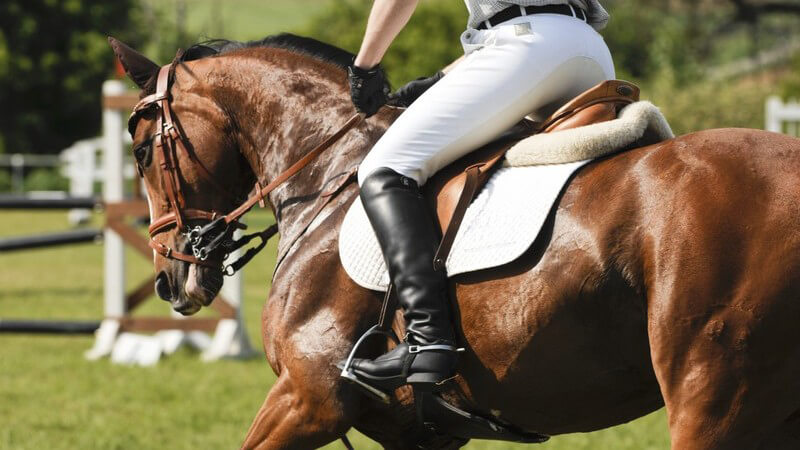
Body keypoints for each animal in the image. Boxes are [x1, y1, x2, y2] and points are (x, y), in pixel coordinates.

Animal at [111, 33, 800, 448]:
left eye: (141, 151)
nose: (170, 278)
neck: (329, 175)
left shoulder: (309, 399)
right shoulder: (416, 431)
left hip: (713, 398)